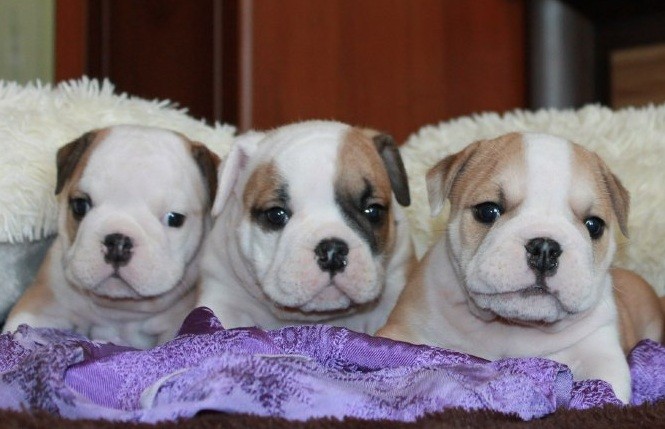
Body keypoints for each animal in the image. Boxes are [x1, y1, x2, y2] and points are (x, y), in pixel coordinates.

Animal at [378, 132, 664, 402]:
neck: (512, 325)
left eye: (594, 225)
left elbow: (605, 385)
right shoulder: (404, 333)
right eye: (487, 211)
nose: (545, 248)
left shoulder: (600, 352)